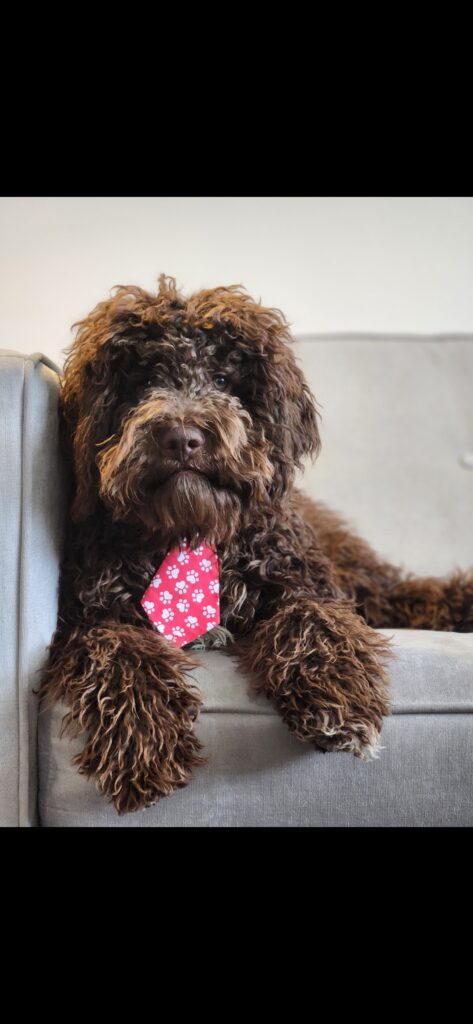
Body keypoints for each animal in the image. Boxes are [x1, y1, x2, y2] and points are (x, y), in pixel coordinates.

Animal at [37, 274, 473, 815]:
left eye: (224, 380)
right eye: (142, 381)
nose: (183, 437)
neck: (191, 531)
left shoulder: (303, 582)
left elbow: (312, 615)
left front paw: (337, 695)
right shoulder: (86, 616)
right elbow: (118, 649)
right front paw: (144, 739)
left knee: (407, 595)